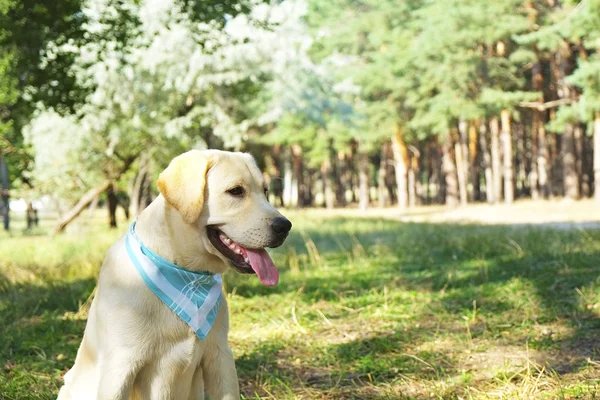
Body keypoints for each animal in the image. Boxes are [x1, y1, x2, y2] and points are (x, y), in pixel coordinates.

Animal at [57, 151, 292, 400]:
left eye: (265, 191)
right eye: (236, 191)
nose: (285, 226)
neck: (187, 275)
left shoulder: (220, 355)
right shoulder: (120, 367)